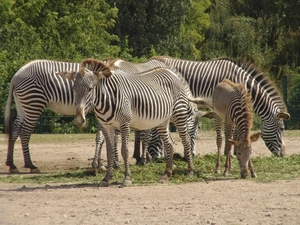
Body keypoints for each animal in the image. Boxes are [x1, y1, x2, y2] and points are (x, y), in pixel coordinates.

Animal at [58, 58, 195, 186]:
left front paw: (127, 179)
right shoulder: (107, 126)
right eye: (73, 88)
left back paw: (190, 170)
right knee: (169, 144)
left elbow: (125, 150)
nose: (79, 119)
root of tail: (170, 72)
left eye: (90, 89)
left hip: (179, 114)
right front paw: (106, 179)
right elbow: (109, 151)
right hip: (163, 121)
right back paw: (166, 174)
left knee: (186, 141)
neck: (106, 99)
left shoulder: (124, 124)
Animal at [152, 56, 290, 156]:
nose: (283, 154)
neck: (240, 80)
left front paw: (236, 151)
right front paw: (230, 152)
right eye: (282, 128)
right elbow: (232, 130)